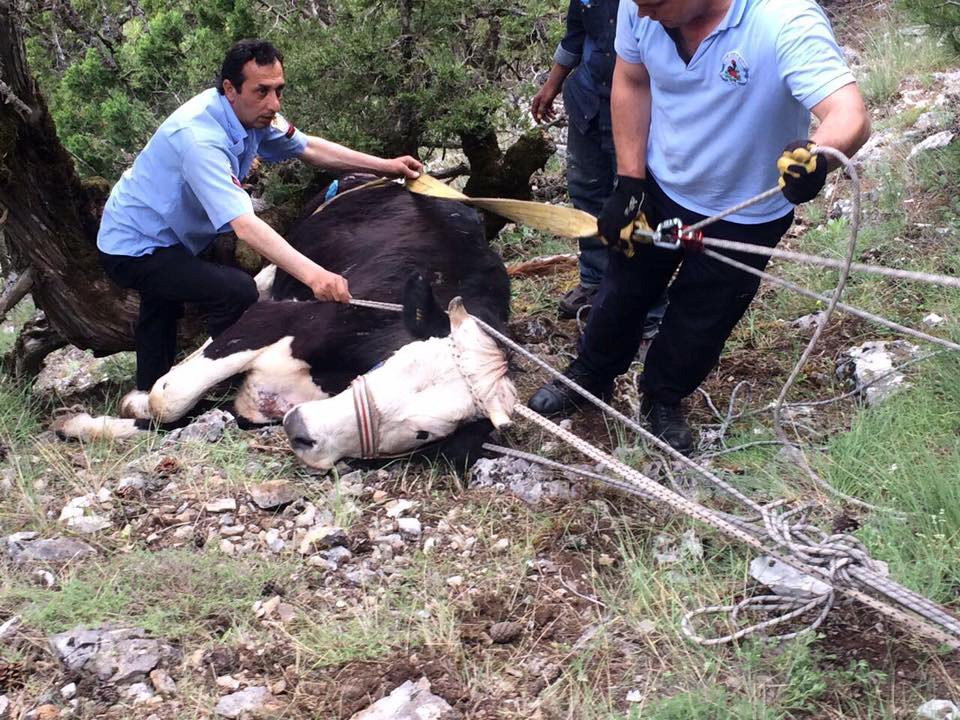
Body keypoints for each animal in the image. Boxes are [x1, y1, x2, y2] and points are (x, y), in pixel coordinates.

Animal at [54, 177, 516, 470]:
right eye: (392, 365)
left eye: (424, 434)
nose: (302, 430)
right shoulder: (275, 319)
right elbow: (170, 398)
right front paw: (127, 404)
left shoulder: (249, 409)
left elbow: (181, 417)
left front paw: (84, 425)